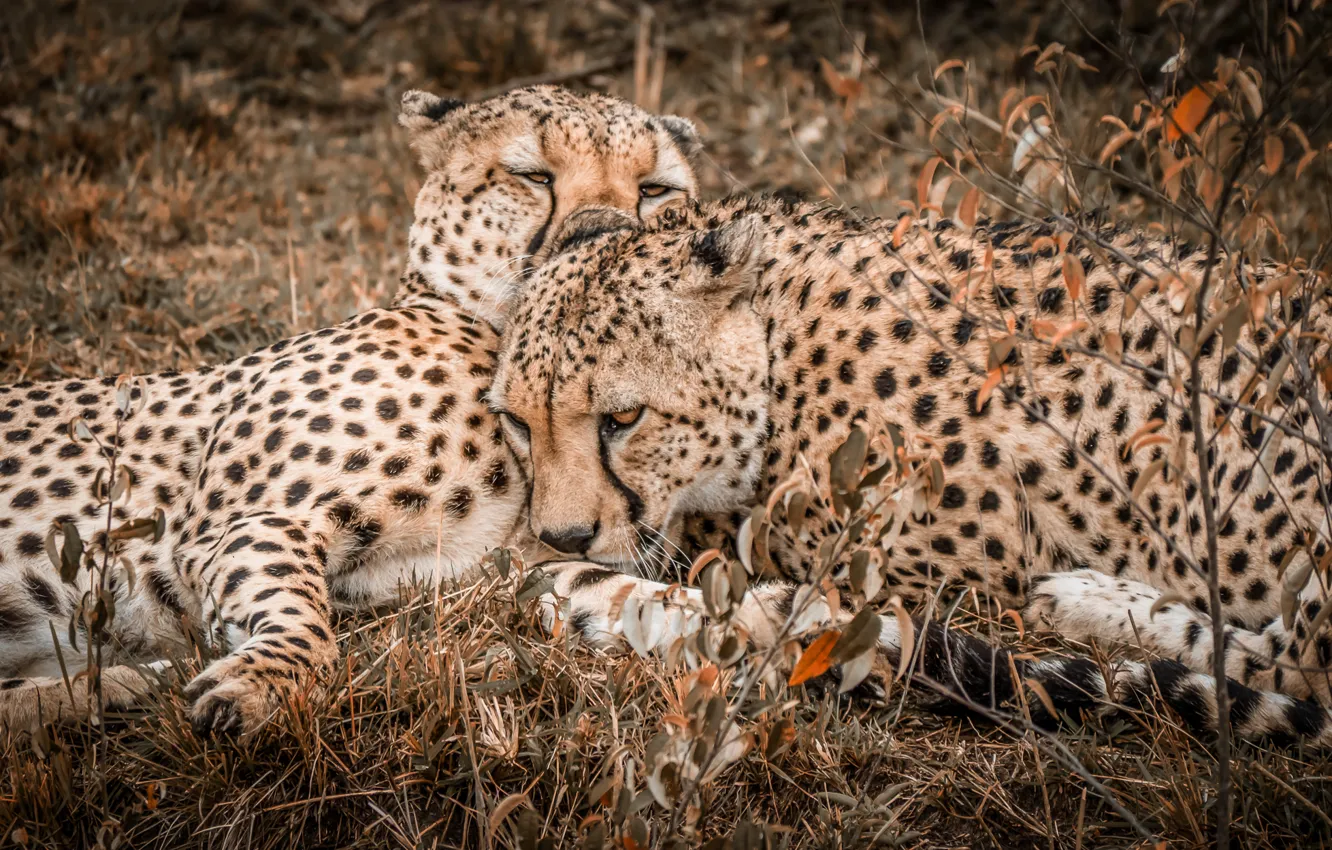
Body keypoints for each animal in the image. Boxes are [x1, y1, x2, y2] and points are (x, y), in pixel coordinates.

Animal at [0, 84, 704, 737]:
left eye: (654, 190)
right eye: (534, 175)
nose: (605, 233)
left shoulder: (513, 568)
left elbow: (643, 597)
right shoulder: (238, 525)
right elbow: (302, 620)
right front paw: (262, 684)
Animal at [490, 194, 1332, 746]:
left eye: (622, 419)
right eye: (518, 421)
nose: (563, 537)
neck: (778, 347)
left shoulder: (948, 572)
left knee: (1296, 664)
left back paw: (1083, 602)